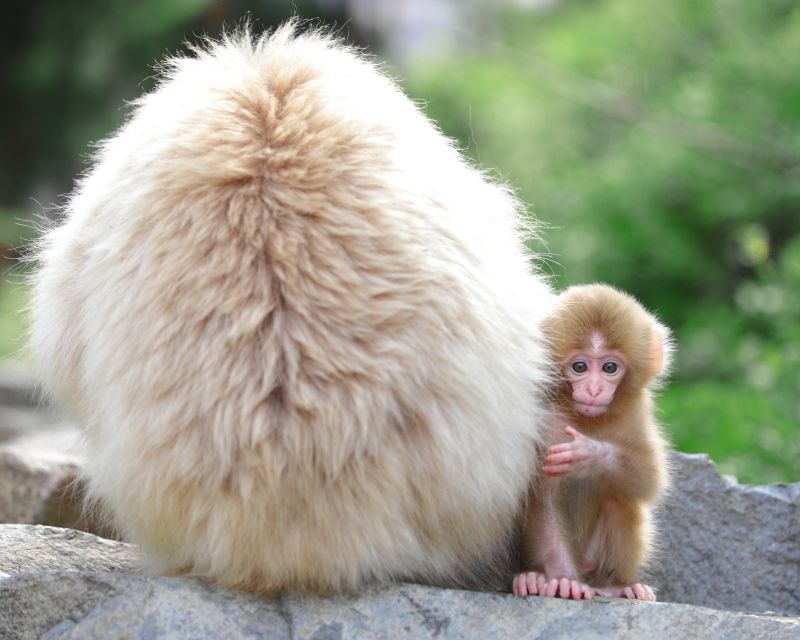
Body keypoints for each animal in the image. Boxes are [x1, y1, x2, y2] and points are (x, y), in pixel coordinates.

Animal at [512, 284, 671, 601]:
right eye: (580, 367)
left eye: (609, 367)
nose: (595, 389)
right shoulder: (547, 423)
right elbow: (543, 500)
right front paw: (563, 580)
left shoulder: (636, 417)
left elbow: (650, 479)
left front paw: (589, 454)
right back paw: (533, 578)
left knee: (619, 500)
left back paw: (618, 586)